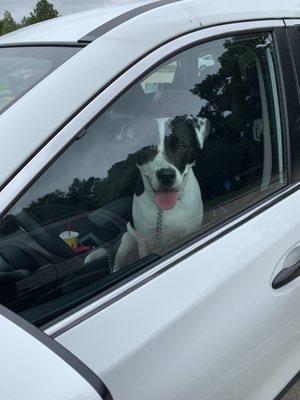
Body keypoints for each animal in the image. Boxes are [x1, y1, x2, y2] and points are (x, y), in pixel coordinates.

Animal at [85, 115, 210, 272]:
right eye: (147, 149)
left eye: (181, 147)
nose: (166, 175)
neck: (163, 211)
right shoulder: (145, 242)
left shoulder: (190, 230)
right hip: (127, 241)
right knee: (118, 265)